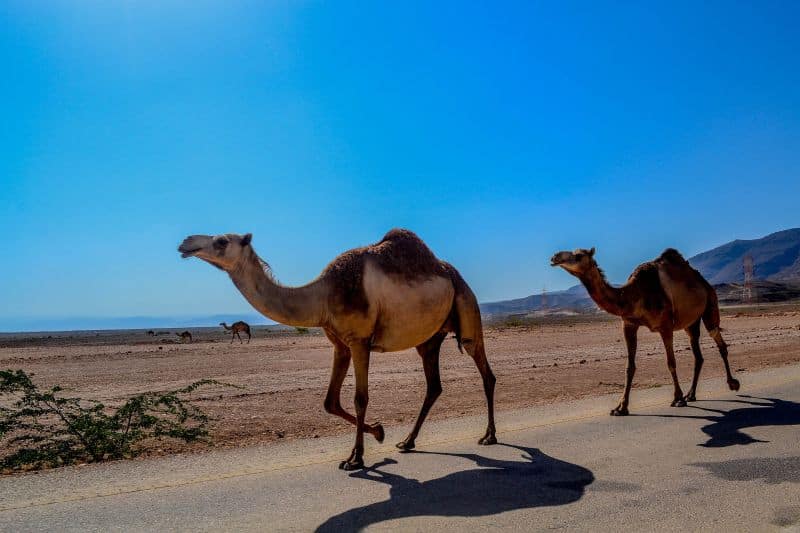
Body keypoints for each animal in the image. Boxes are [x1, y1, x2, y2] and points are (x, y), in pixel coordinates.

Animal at [178, 227, 496, 468]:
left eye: (221, 241)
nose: (186, 242)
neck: (324, 295)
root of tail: (452, 273)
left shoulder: (359, 341)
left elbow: (360, 399)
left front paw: (356, 458)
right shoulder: (339, 345)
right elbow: (330, 402)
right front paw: (379, 432)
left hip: (466, 305)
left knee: (484, 371)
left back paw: (488, 436)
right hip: (429, 339)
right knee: (434, 386)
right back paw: (407, 441)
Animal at [552, 247, 740, 414]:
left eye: (578, 256)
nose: (554, 257)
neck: (633, 296)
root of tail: (704, 283)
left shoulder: (665, 325)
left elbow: (671, 363)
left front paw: (677, 398)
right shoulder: (628, 324)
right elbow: (629, 367)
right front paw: (621, 407)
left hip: (710, 305)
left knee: (718, 340)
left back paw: (732, 383)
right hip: (691, 323)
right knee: (698, 355)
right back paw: (691, 394)